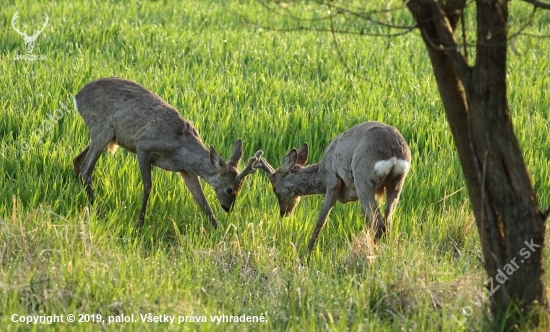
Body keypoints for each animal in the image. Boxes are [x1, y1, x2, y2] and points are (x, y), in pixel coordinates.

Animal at [73, 78, 264, 228]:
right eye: (229, 189)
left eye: (240, 188)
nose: (228, 208)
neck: (180, 149)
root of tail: (77, 97)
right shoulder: (143, 146)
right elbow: (148, 186)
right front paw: (139, 224)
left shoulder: (186, 171)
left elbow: (203, 201)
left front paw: (220, 232)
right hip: (102, 128)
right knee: (86, 168)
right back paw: (97, 208)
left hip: (109, 136)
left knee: (77, 160)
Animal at [254, 122, 410, 252]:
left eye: (274, 188)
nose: (283, 212)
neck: (321, 174)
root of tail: (395, 153)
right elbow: (367, 222)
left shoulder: (332, 181)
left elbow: (321, 221)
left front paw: (306, 255)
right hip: (397, 184)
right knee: (387, 221)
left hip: (363, 181)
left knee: (379, 223)